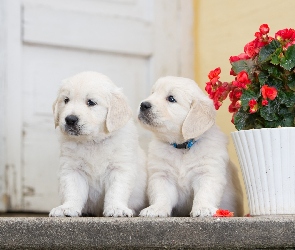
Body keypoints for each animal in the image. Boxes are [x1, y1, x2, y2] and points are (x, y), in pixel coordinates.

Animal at [49, 71, 147, 217]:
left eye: (91, 102)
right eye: (66, 100)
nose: (70, 119)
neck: (93, 141)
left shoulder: (120, 168)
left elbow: (116, 191)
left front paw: (116, 209)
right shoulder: (72, 168)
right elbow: (72, 191)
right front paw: (67, 208)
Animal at [138, 75, 244, 217]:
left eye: (171, 98)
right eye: (153, 93)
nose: (143, 105)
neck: (183, 147)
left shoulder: (207, 172)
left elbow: (204, 193)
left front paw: (203, 208)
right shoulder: (162, 175)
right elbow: (161, 194)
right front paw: (156, 209)